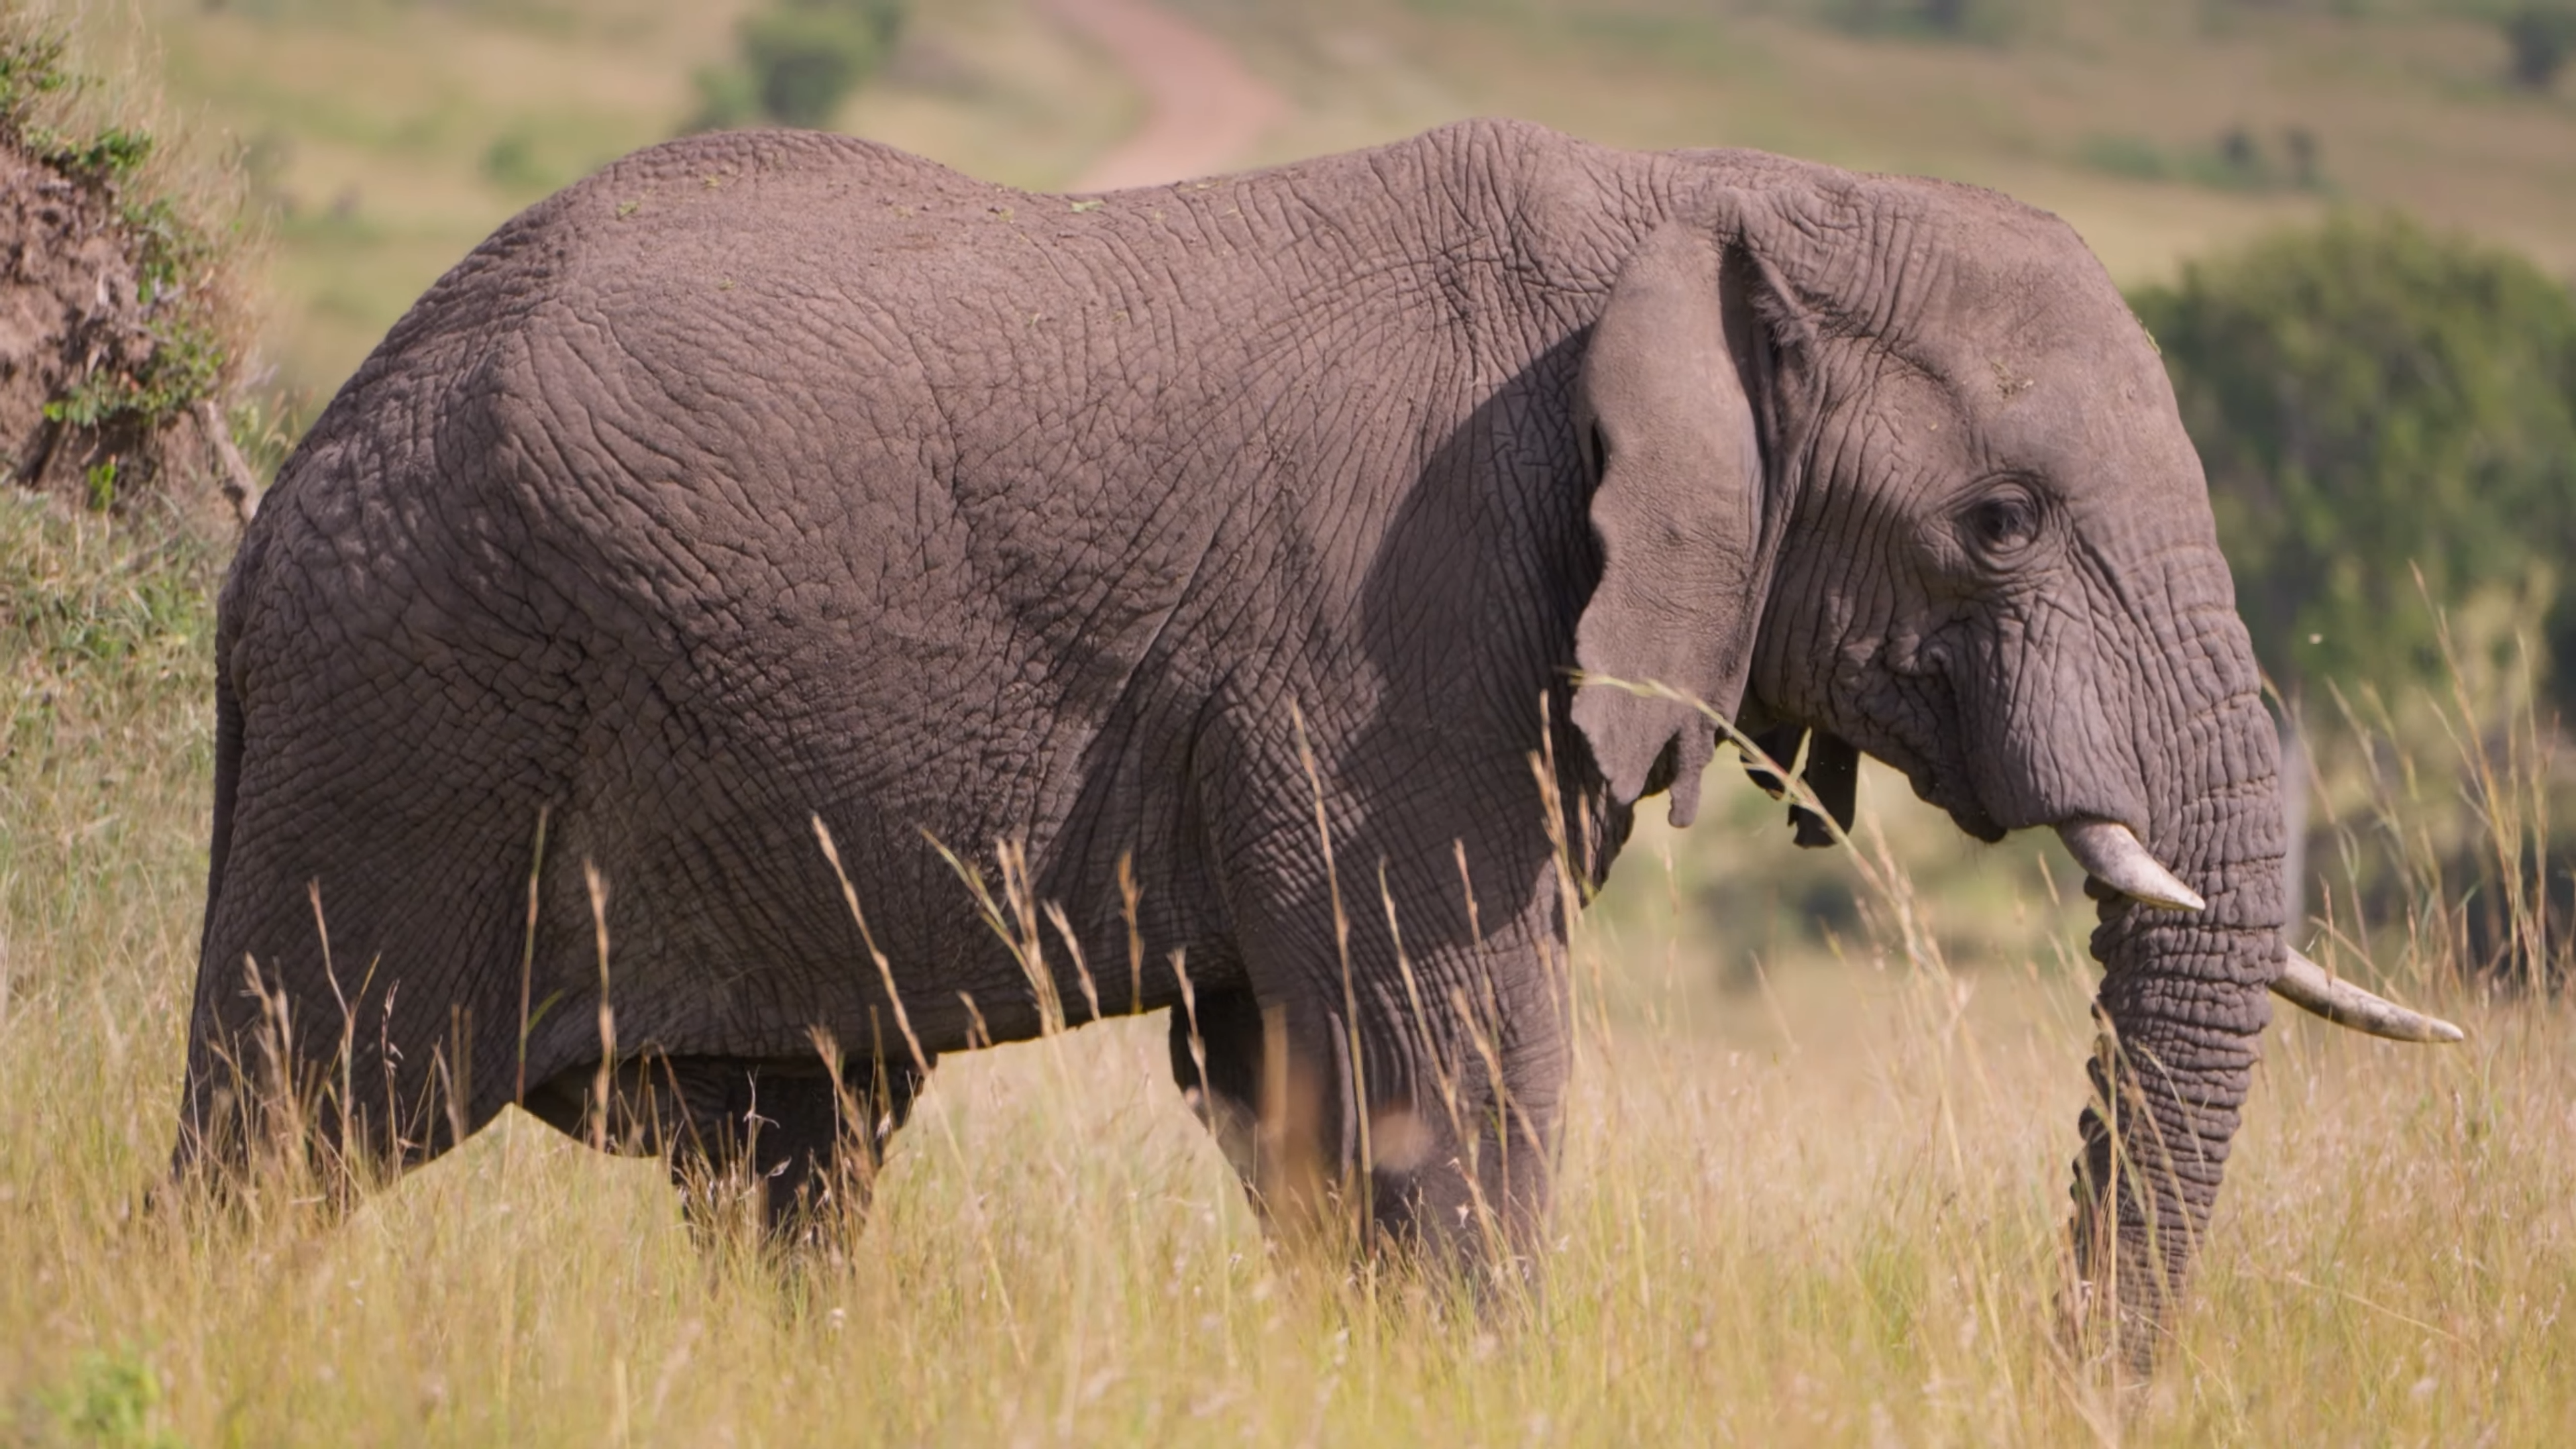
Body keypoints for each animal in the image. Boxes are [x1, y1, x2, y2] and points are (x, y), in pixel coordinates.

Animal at [186, 118, 2452, 1361]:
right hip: (413, 711)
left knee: (787, 1172)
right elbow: (1459, 1066)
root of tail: (280, 490)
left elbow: (1296, 1102)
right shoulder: (1394, 635)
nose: (2063, 1368)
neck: (1707, 197)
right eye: (1998, 523)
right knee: (286, 1130)